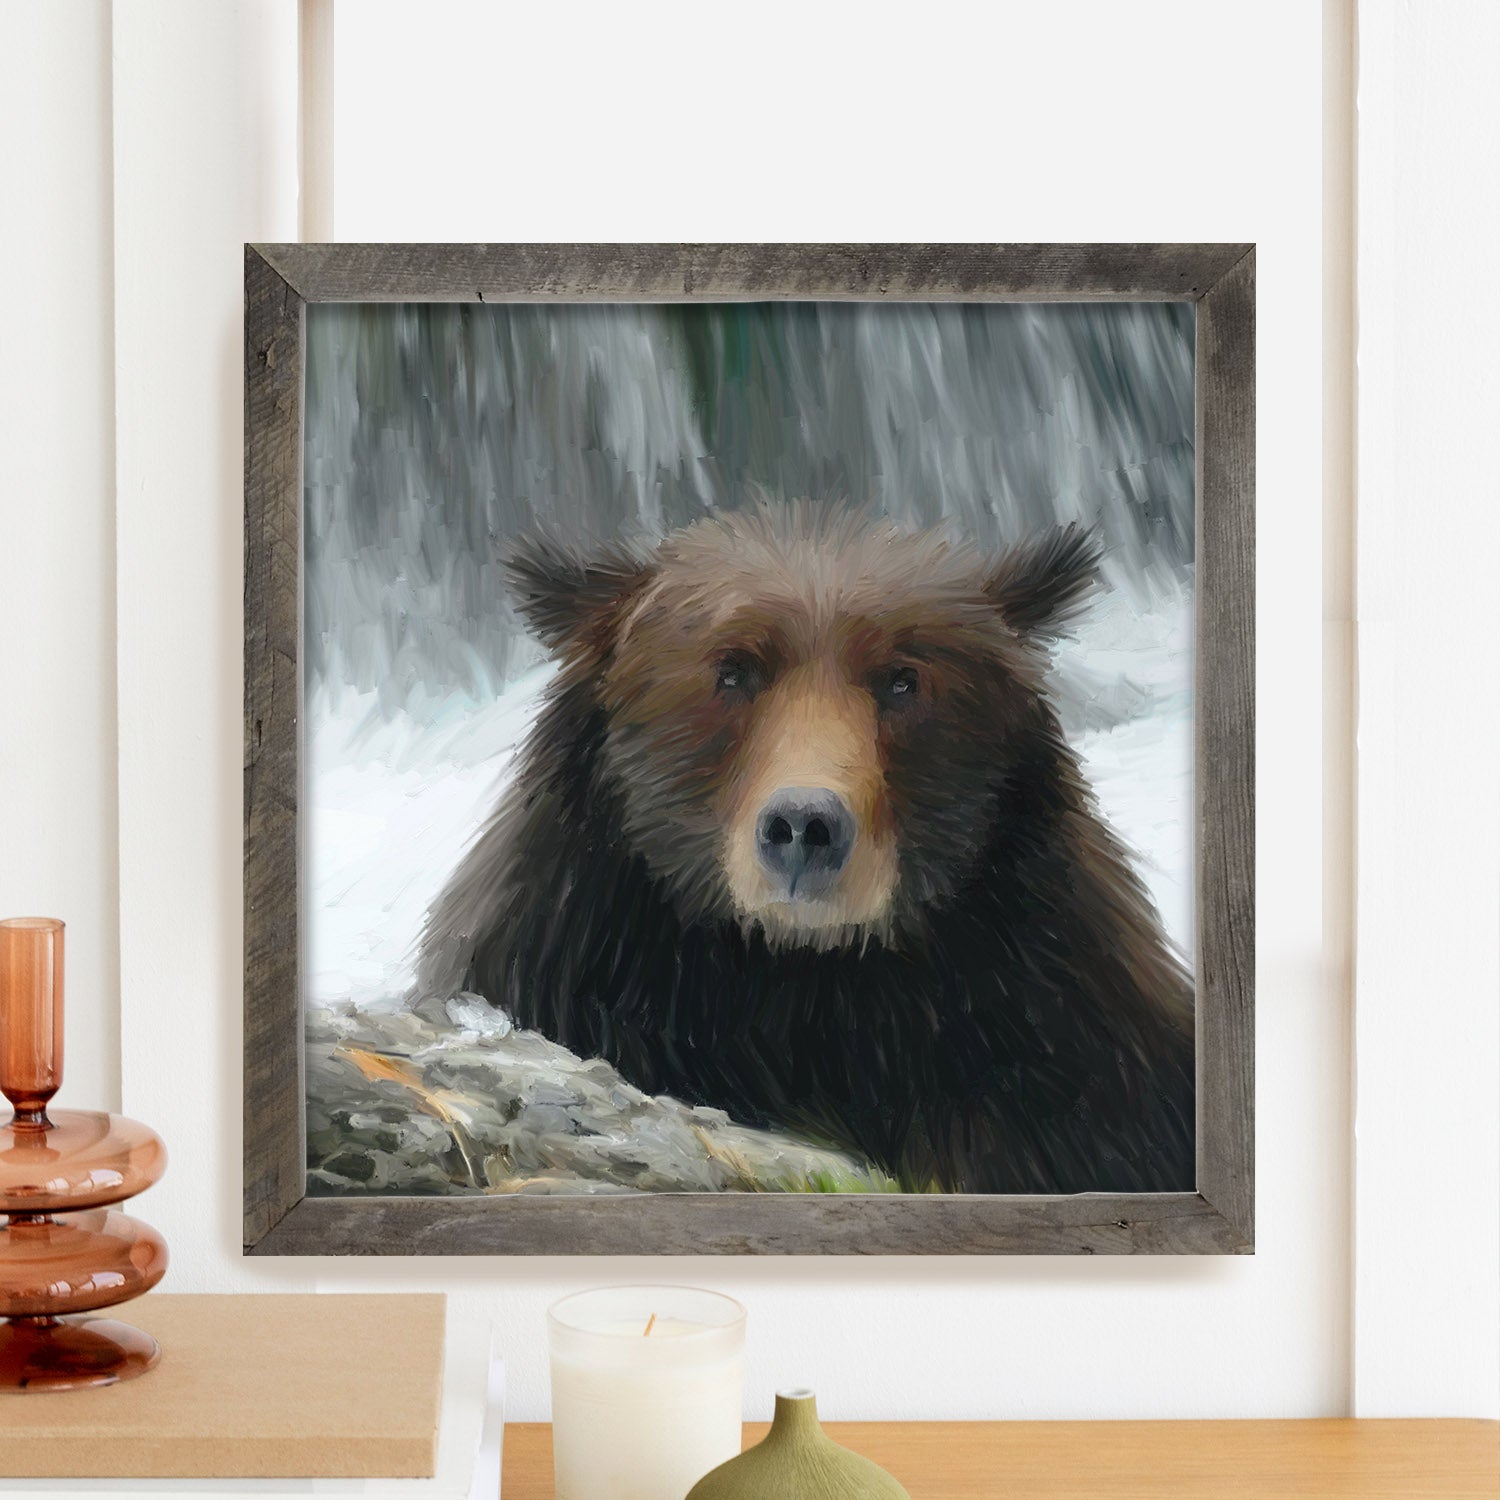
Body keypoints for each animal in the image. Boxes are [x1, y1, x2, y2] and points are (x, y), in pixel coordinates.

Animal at [418, 504, 1195, 1194]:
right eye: (733, 669)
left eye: (903, 679)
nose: (803, 826)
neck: (803, 984)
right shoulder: (572, 962)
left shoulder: (1059, 1042)